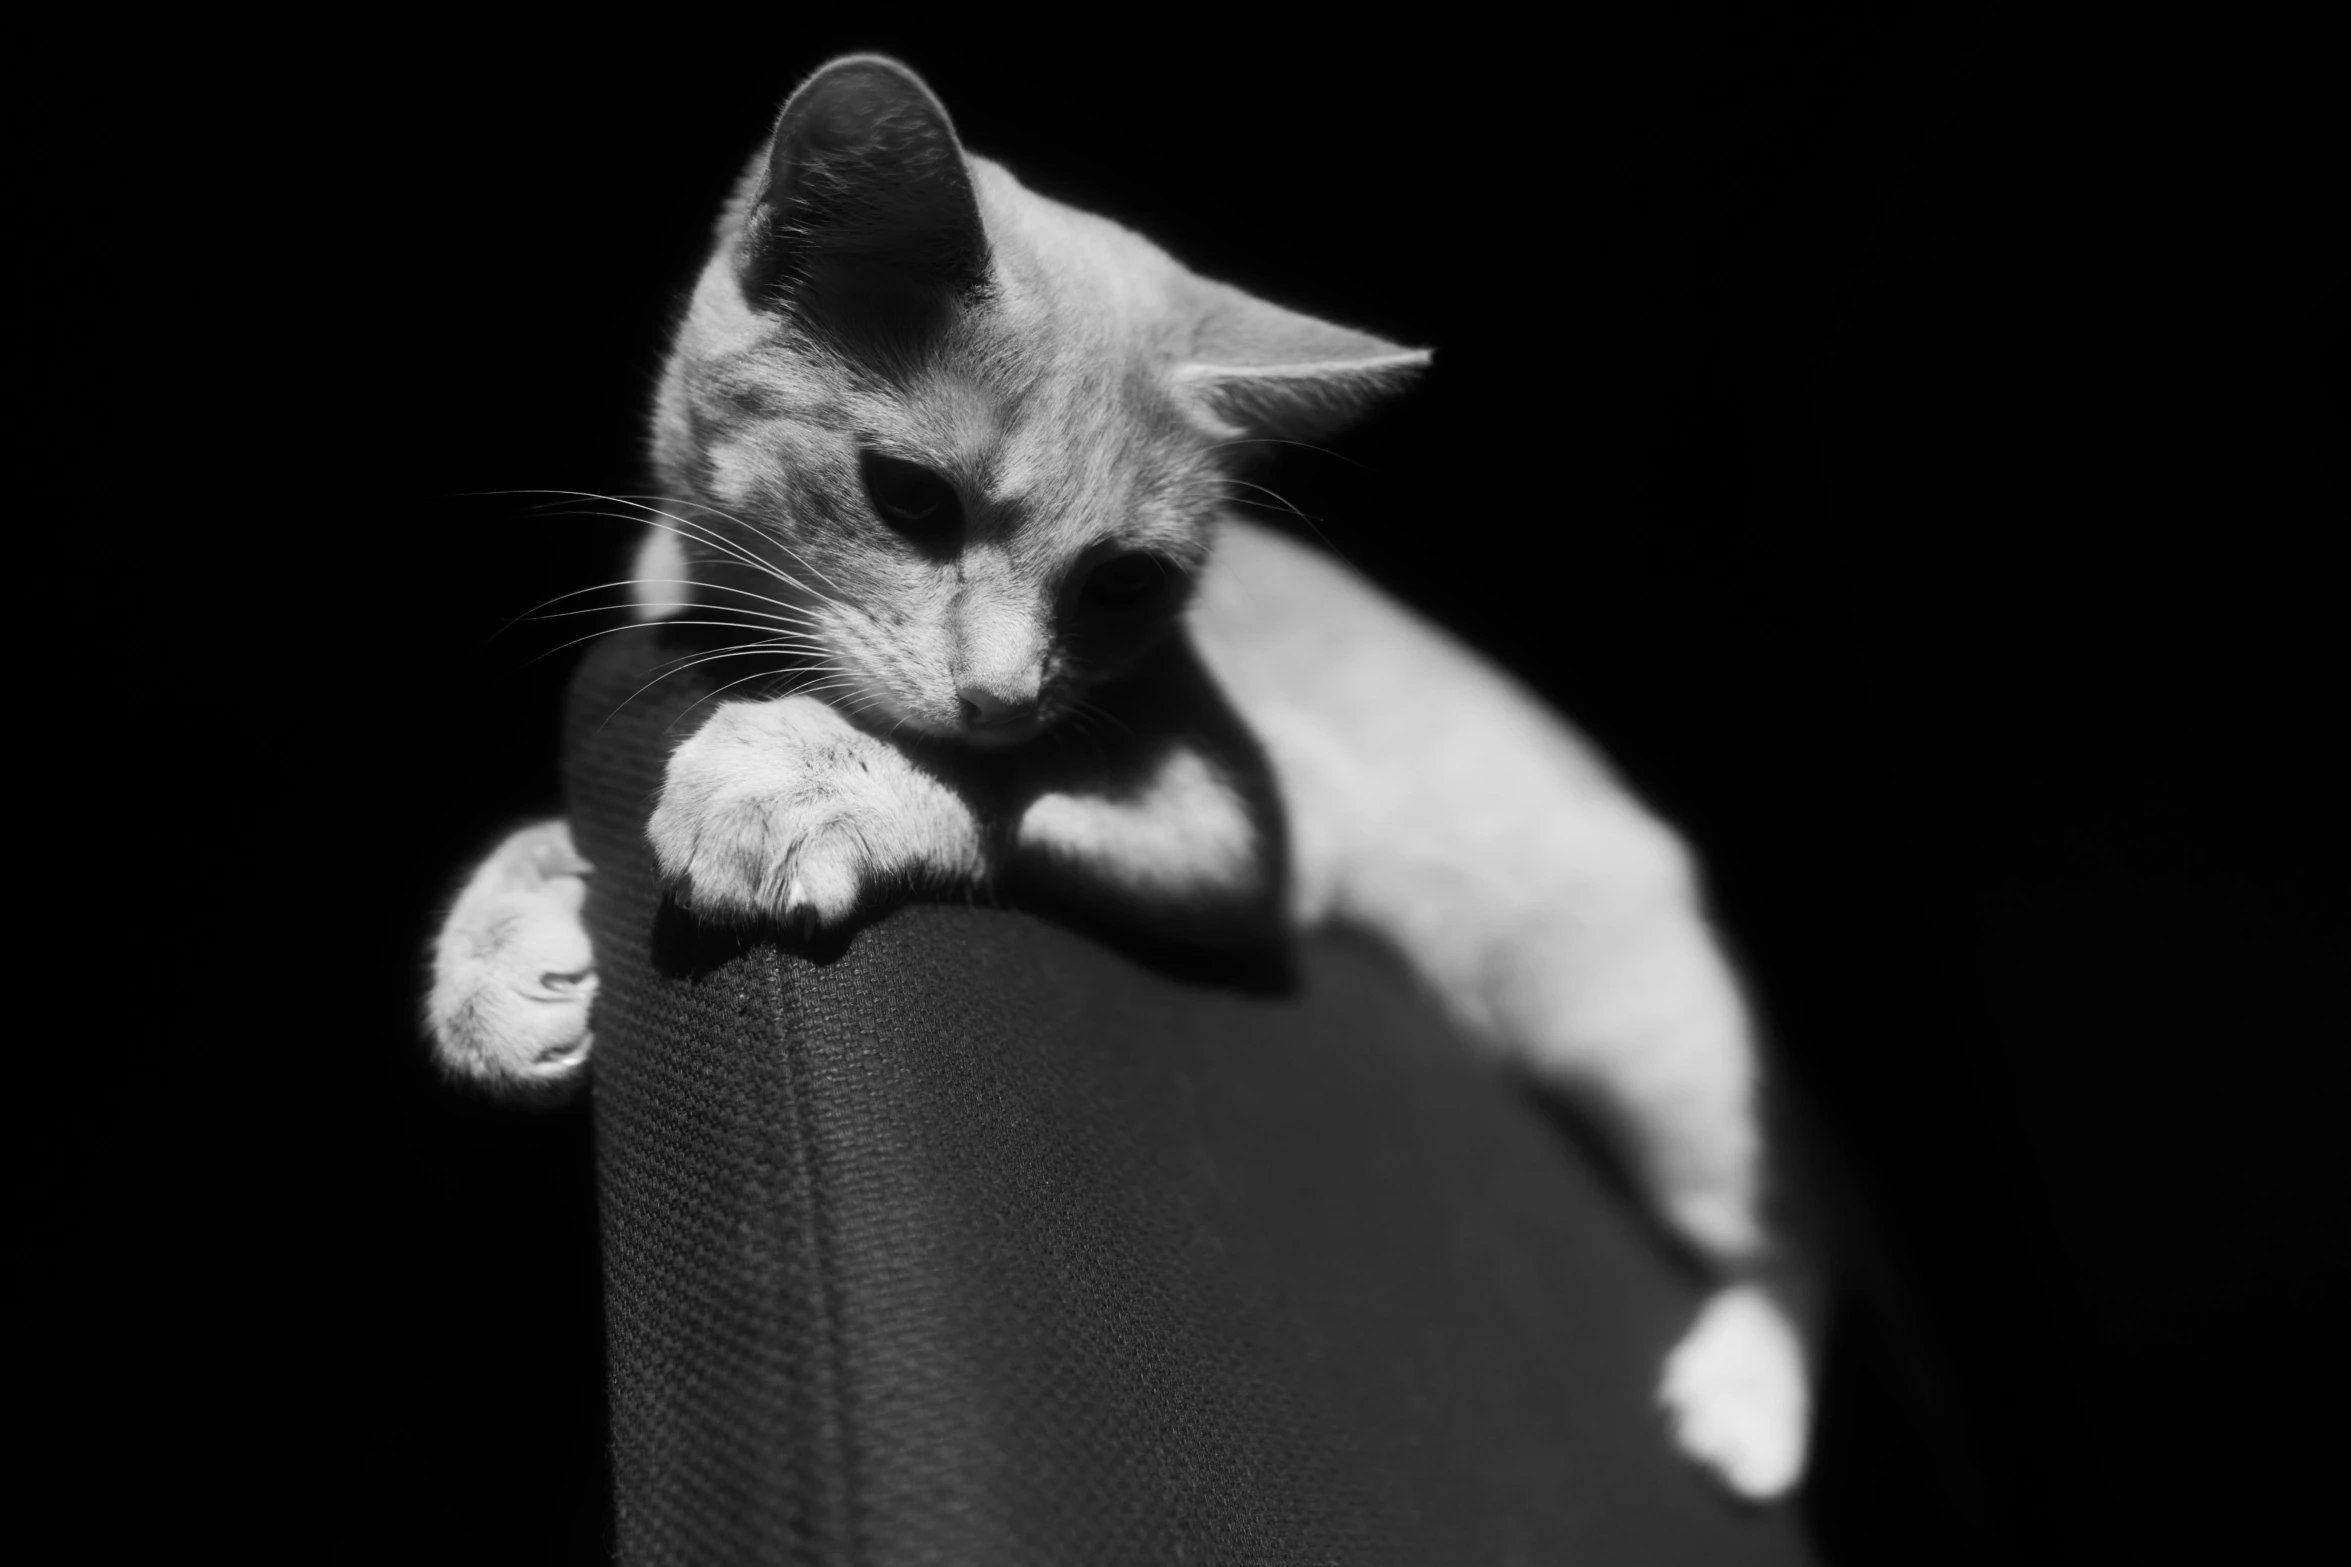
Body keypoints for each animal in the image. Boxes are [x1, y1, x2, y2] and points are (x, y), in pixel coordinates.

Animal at [423, 55, 1814, 1503]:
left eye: (1126, 582)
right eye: (906, 497)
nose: (1000, 694)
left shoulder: (1248, 840)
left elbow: (1002, 792)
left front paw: (815, 778)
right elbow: (544, 834)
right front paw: (498, 950)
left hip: (1626, 1044)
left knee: (1786, 1237)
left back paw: (1748, 1395)